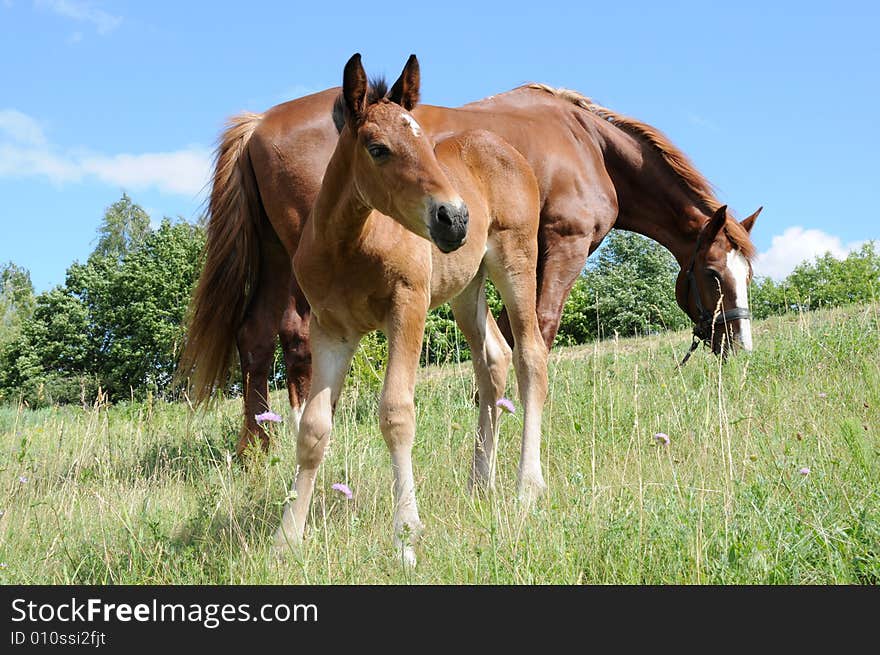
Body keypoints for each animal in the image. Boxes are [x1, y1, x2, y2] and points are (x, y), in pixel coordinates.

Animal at [276, 53, 552, 564]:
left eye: (425, 142)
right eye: (378, 148)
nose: (455, 218)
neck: (347, 247)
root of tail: (505, 147)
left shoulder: (408, 306)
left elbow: (396, 412)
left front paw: (406, 533)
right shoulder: (330, 331)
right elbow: (313, 429)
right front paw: (286, 538)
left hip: (516, 261)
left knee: (531, 357)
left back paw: (527, 486)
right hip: (466, 287)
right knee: (494, 360)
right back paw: (479, 484)